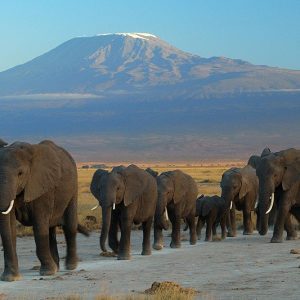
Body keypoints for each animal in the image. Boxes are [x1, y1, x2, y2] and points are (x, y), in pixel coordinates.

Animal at [0, 140, 89, 282]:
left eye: (20, 173)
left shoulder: (44, 187)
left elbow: (39, 225)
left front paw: (47, 272)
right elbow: (10, 227)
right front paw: (10, 278)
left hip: (73, 188)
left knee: (69, 226)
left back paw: (70, 266)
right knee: (50, 229)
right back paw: (56, 267)